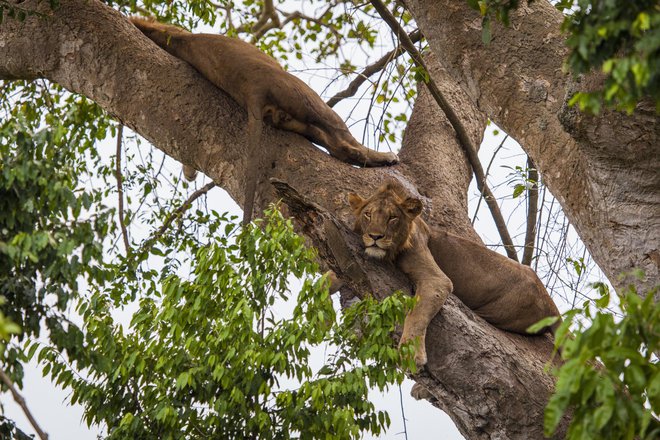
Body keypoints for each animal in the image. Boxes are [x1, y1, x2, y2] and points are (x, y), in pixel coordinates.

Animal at [127, 16, 398, 223]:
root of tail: (252, 90)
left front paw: (189, 172)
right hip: (307, 97)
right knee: (343, 145)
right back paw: (385, 157)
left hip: (295, 119)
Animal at [348, 180, 560, 366]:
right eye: (367, 214)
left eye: (393, 218)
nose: (375, 236)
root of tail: (551, 304)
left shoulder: (436, 278)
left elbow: (417, 314)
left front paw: (412, 354)